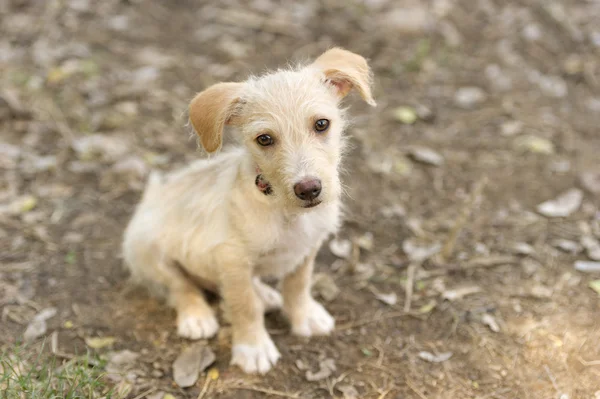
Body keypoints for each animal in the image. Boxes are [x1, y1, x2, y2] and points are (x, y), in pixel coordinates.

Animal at [121, 47, 376, 376]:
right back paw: (196, 316)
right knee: (180, 286)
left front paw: (304, 316)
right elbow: (244, 306)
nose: (308, 189)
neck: (283, 209)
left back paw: (265, 294)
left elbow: (298, 285)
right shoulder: (232, 259)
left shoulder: (307, 248)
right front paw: (253, 348)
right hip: (147, 248)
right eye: (264, 139)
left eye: (322, 124)